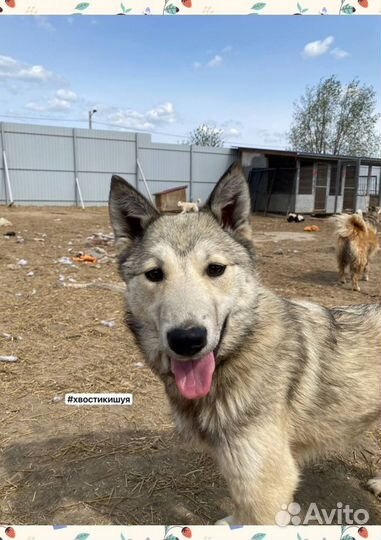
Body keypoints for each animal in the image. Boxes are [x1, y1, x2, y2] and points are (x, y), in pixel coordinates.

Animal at [107, 161, 380, 524]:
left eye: (215, 269)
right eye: (154, 274)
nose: (188, 339)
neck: (240, 352)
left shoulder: (269, 488)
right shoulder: (240, 472)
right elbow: (239, 510)